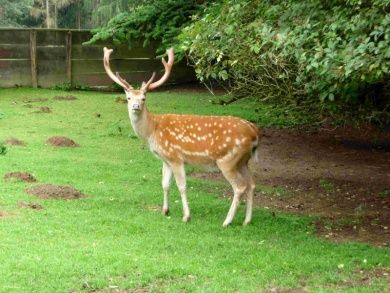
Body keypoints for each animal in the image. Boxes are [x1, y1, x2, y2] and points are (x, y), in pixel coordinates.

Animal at [103, 47, 262, 226]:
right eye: (128, 97)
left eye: (144, 98)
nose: (136, 106)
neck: (153, 130)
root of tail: (254, 132)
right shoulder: (165, 159)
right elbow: (165, 184)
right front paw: (165, 211)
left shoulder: (175, 156)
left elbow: (182, 186)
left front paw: (186, 216)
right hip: (243, 161)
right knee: (252, 184)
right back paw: (247, 220)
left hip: (227, 160)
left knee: (240, 186)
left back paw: (227, 221)